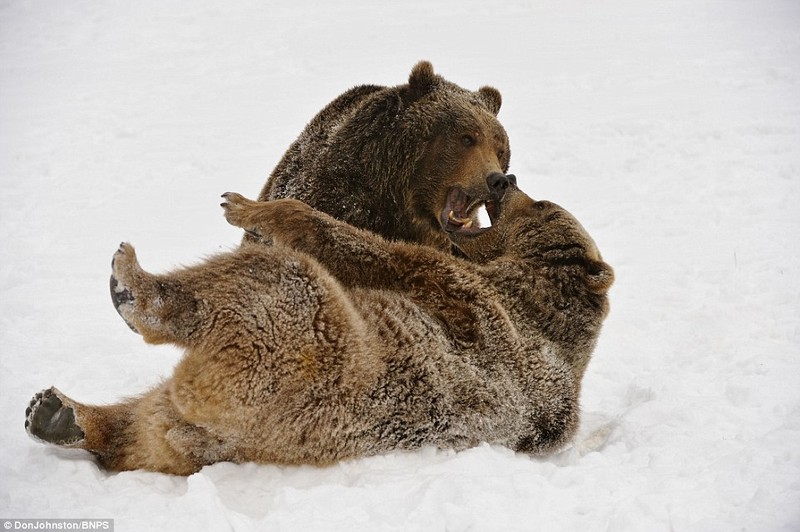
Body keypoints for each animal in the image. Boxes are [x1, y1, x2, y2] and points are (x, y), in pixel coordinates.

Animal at [23, 181, 612, 476]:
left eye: (539, 202)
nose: (505, 179)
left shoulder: (478, 304)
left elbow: (382, 254)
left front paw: (248, 207)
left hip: (292, 357)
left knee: (265, 282)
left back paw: (134, 287)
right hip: (200, 423)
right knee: (142, 427)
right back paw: (59, 415)